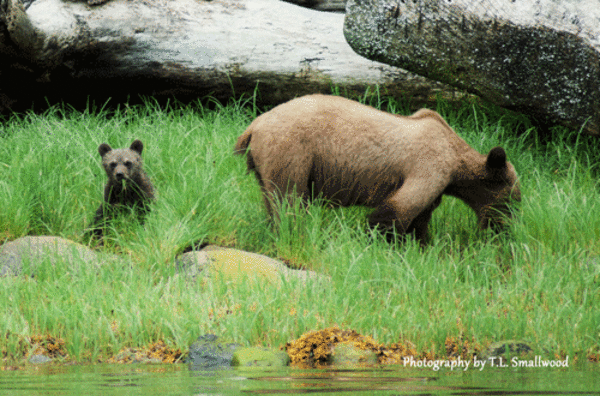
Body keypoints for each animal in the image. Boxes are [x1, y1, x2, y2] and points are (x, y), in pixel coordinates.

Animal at [234, 95, 520, 243]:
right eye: (513, 200)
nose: (503, 231)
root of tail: (254, 126)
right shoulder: (429, 165)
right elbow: (396, 210)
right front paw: (378, 240)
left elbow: (420, 218)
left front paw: (420, 244)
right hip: (294, 151)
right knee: (290, 200)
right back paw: (294, 234)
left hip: (268, 164)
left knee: (272, 200)